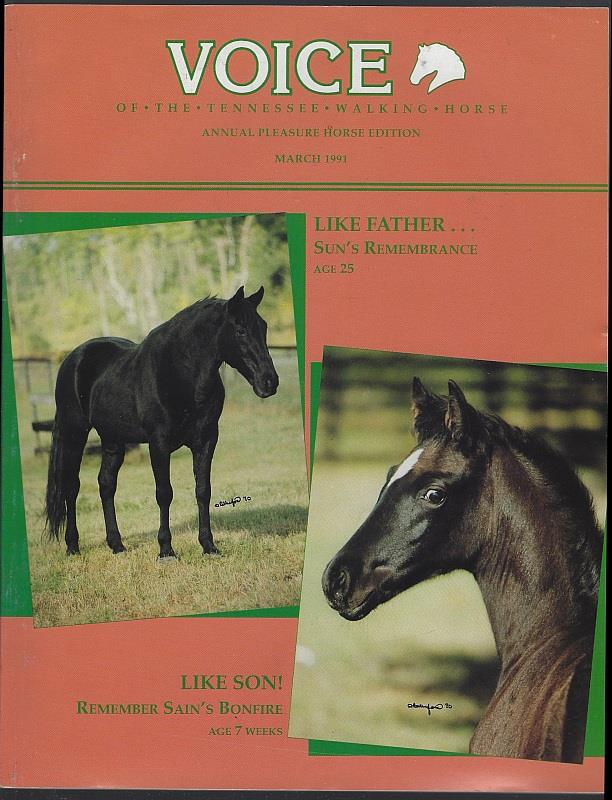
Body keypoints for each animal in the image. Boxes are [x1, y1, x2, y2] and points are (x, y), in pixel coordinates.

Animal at [45, 285, 278, 559]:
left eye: (263, 327)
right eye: (240, 330)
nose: (269, 382)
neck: (180, 374)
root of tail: (73, 359)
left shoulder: (206, 440)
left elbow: (203, 490)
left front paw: (208, 546)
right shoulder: (159, 443)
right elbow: (164, 493)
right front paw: (166, 550)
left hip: (113, 439)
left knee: (106, 484)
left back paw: (117, 545)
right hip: (75, 433)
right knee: (71, 487)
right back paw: (73, 546)